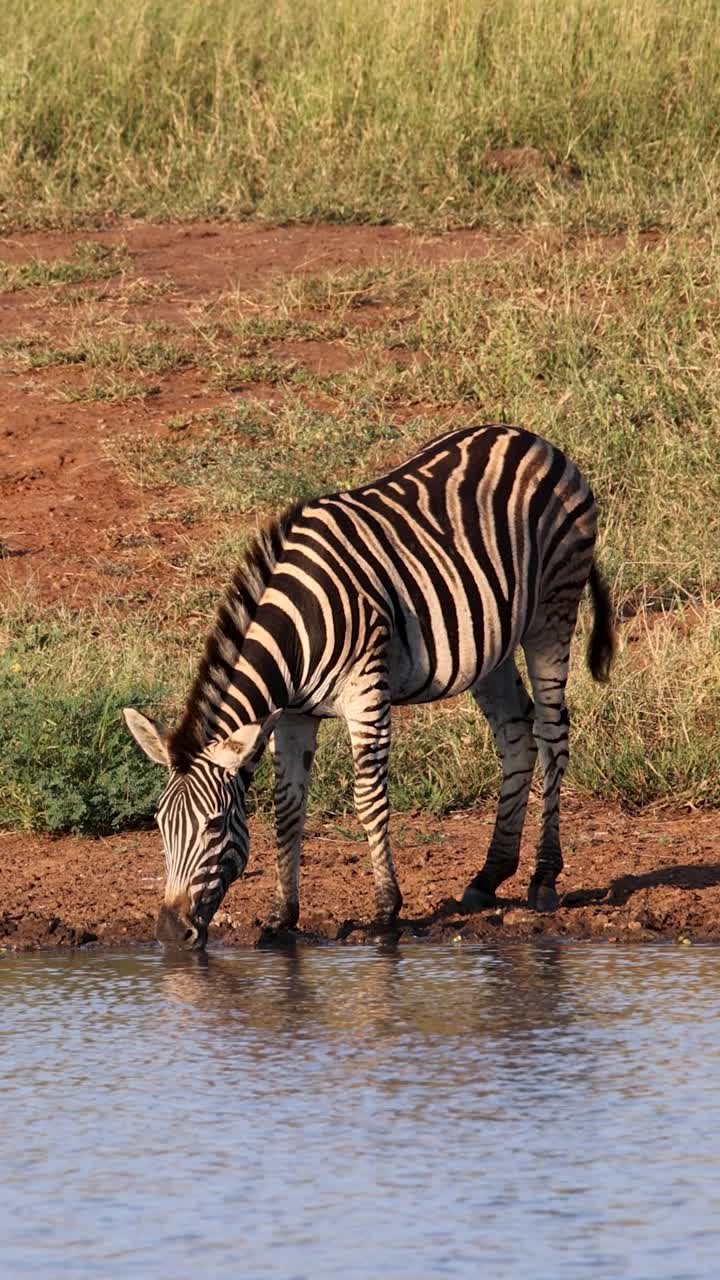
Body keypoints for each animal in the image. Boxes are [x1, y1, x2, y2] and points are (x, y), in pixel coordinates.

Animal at [124, 423, 614, 949]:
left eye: (214, 825)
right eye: (158, 823)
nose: (170, 932)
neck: (296, 629)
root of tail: (531, 438)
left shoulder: (366, 693)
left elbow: (369, 799)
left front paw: (385, 910)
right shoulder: (293, 714)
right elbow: (286, 806)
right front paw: (281, 917)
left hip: (553, 610)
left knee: (552, 733)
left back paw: (544, 877)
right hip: (492, 645)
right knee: (516, 734)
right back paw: (489, 876)